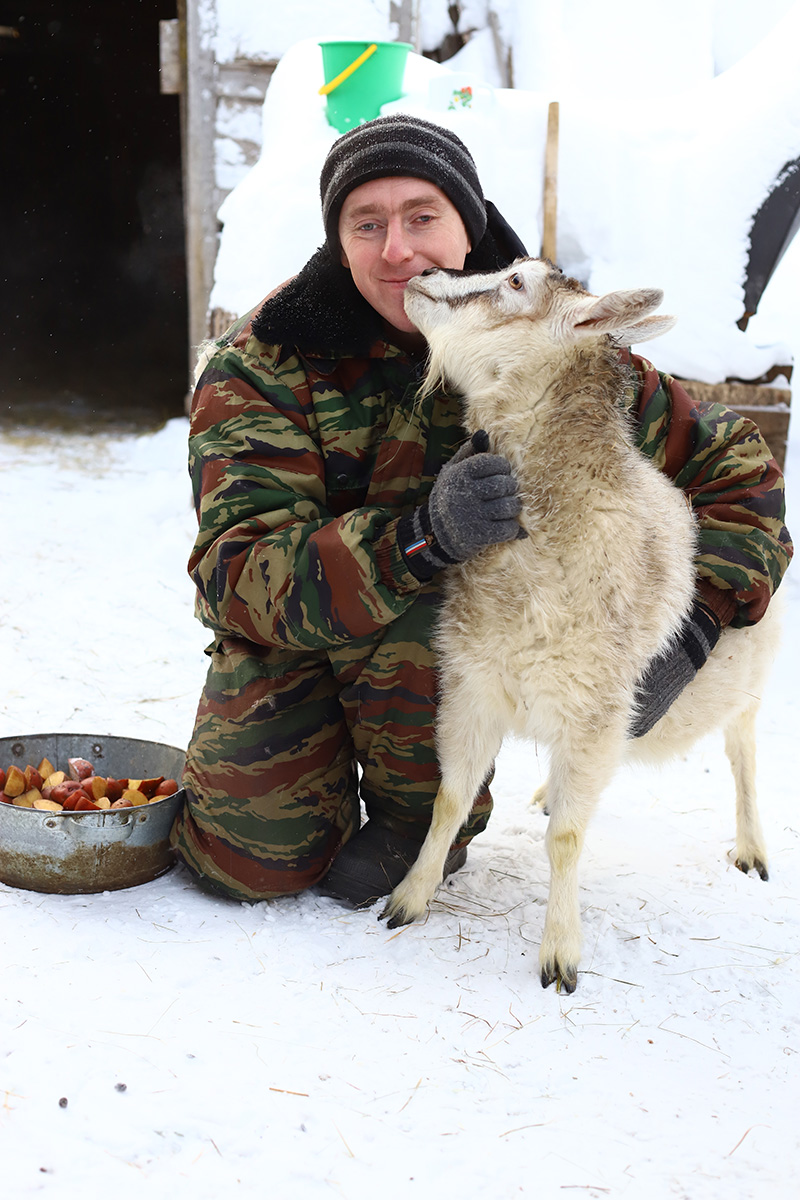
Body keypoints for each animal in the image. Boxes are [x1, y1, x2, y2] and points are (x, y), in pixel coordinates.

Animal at [383, 260, 782, 993]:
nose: (426, 274)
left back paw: (751, 849)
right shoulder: (473, 689)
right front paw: (409, 898)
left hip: (748, 679)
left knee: (742, 754)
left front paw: (560, 955)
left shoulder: (592, 712)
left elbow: (566, 840)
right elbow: (449, 800)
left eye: (516, 282)